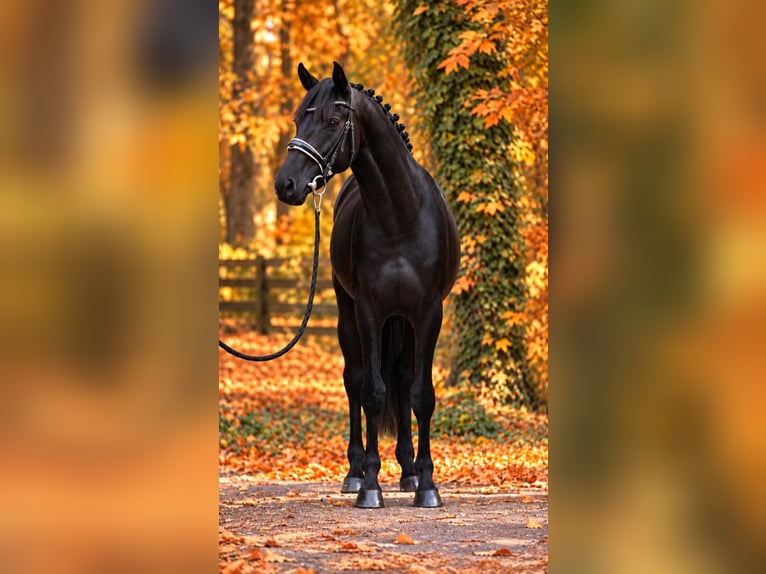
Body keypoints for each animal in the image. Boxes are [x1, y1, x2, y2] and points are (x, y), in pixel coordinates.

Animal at [274, 62, 460, 508]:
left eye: (333, 120)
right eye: (298, 118)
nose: (286, 185)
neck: (400, 216)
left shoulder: (429, 312)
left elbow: (420, 394)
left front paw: (427, 485)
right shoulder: (368, 311)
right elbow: (373, 391)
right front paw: (371, 484)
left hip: (405, 322)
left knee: (404, 380)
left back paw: (408, 472)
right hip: (348, 314)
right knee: (356, 381)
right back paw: (356, 472)